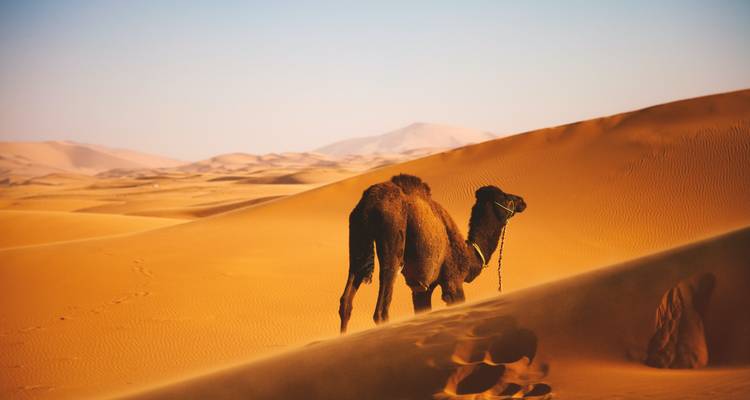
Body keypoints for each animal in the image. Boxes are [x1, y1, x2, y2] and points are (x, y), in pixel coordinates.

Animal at [338, 174, 526, 333]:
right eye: (506, 197)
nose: (522, 200)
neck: (468, 255)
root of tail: (369, 201)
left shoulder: (422, 289)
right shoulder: (452, 281)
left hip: (357, 237)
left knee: (346, 301)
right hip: (392, 237)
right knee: (381, 310)